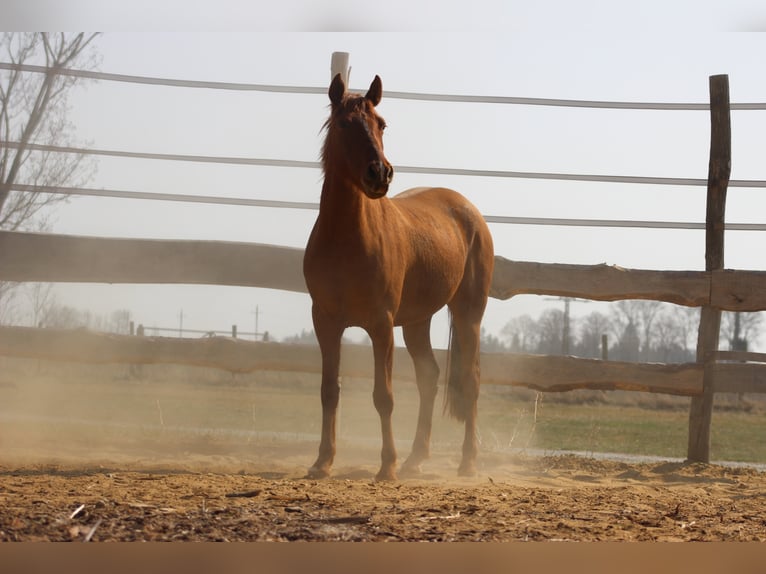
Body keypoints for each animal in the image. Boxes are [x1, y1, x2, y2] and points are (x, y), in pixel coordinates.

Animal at [304, 74, 496, 484]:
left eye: (381, 124)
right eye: (344, 124)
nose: (380, 173)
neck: (346, 240)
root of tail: (468, 210)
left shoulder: (381, 324)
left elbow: (384, 396)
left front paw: (386, 466)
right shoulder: (325, 322)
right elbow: (329, 390)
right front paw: (322, 462)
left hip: (468, 313)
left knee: (470, 380)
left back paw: (467, 462)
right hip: (417, 321)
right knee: (429, 377)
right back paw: (416, 458)